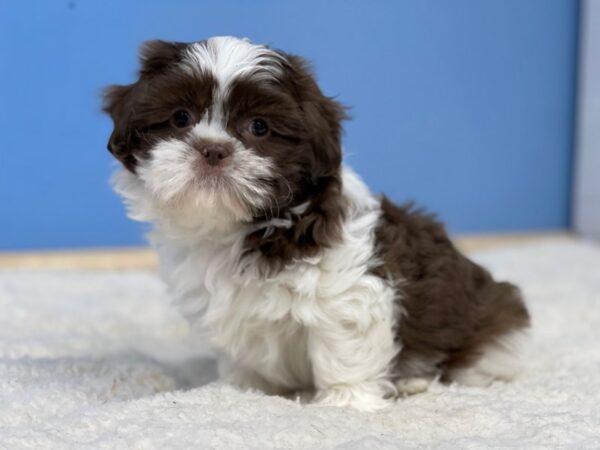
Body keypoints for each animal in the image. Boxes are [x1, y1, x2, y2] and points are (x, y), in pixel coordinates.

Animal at [103, 37, 528, 412]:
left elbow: (343, 348)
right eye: (180, 118)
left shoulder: (348, 292)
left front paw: (345, 403)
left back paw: (413, 380)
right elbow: (243, 360)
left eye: (259, 127)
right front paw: (240, 391)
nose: (213, 149)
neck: (239, 228)